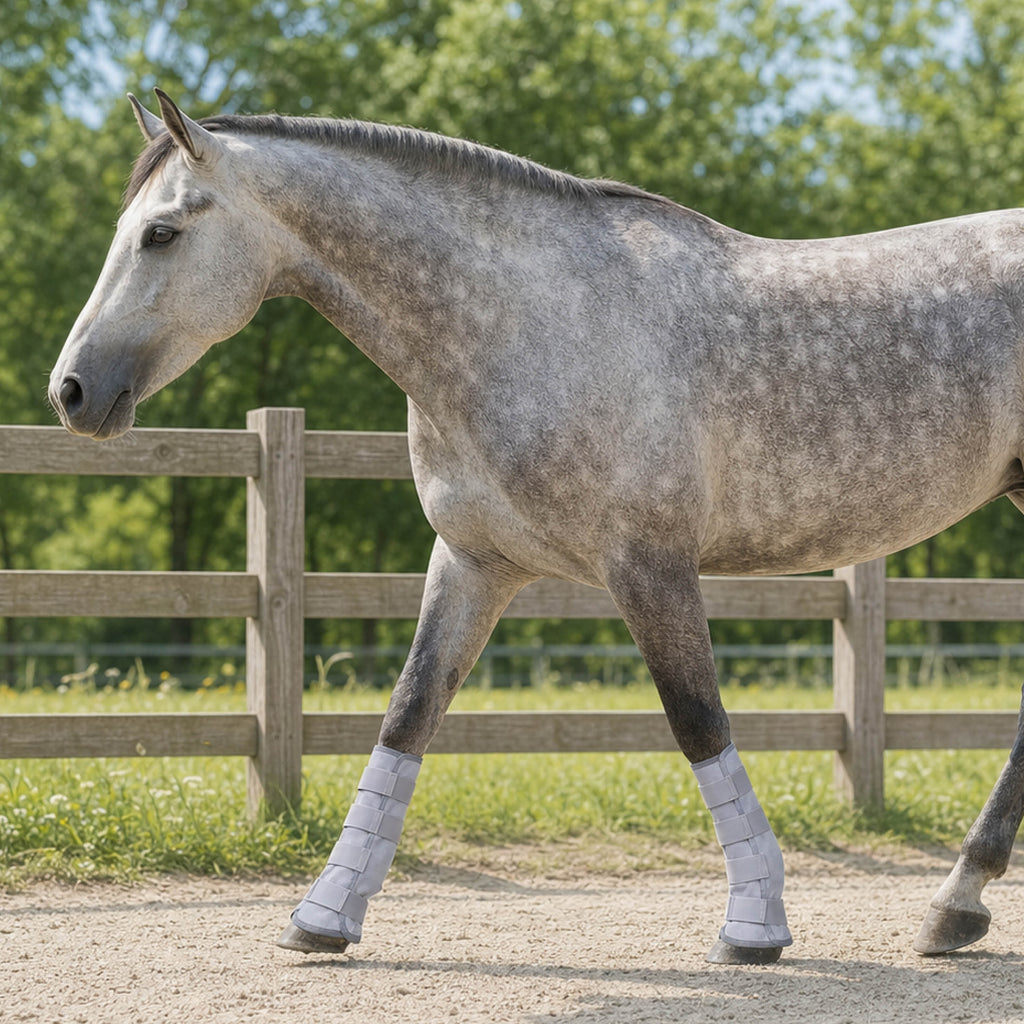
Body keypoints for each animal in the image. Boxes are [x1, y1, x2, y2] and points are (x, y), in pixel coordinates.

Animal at [49, 89, 1024, 964]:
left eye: (161, 233)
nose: (72, 392)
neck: (527, 322)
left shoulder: (650, 566)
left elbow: (697, 721)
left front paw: (754, 927)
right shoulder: (473, 563)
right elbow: (407, 717)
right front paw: (323, 915)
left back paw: (952, 903)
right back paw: (954, 909)